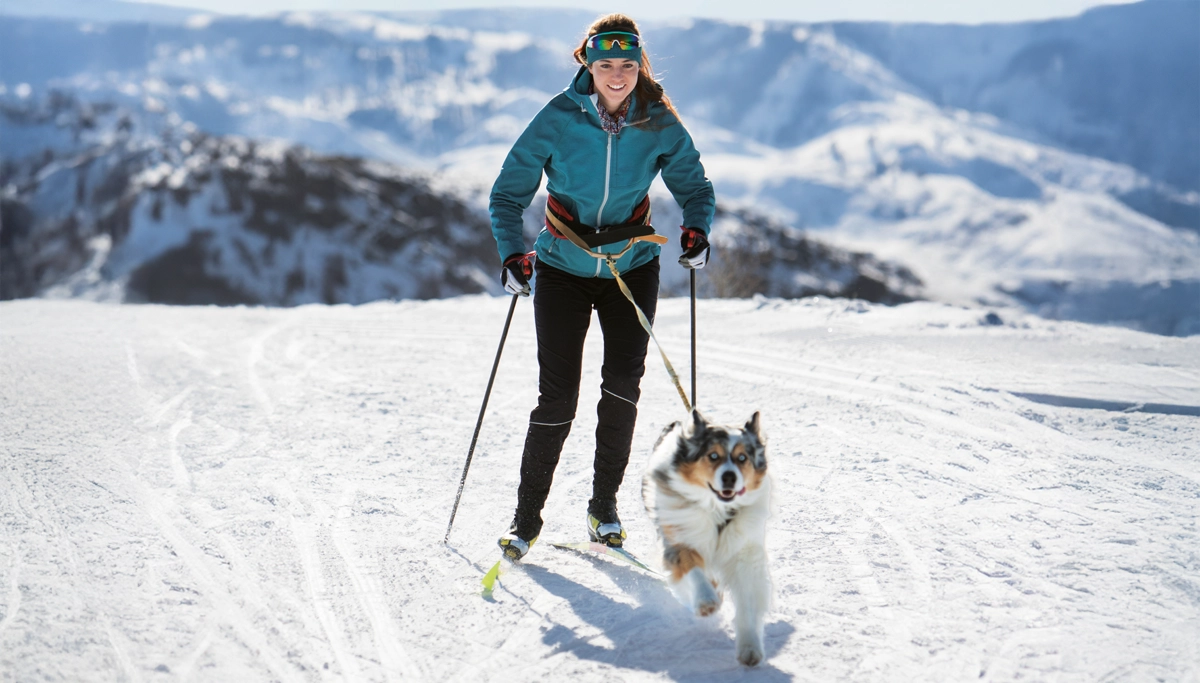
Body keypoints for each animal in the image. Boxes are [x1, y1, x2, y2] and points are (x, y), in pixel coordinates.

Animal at [643, 408, 772, 662]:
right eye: (713, 456)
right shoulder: (679, 539)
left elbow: (748, 602)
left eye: (742, 458)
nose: (730, 477)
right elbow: (694, 570)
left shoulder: (745, 554)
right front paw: (706, 602)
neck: (717, 509)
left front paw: (750, 647)